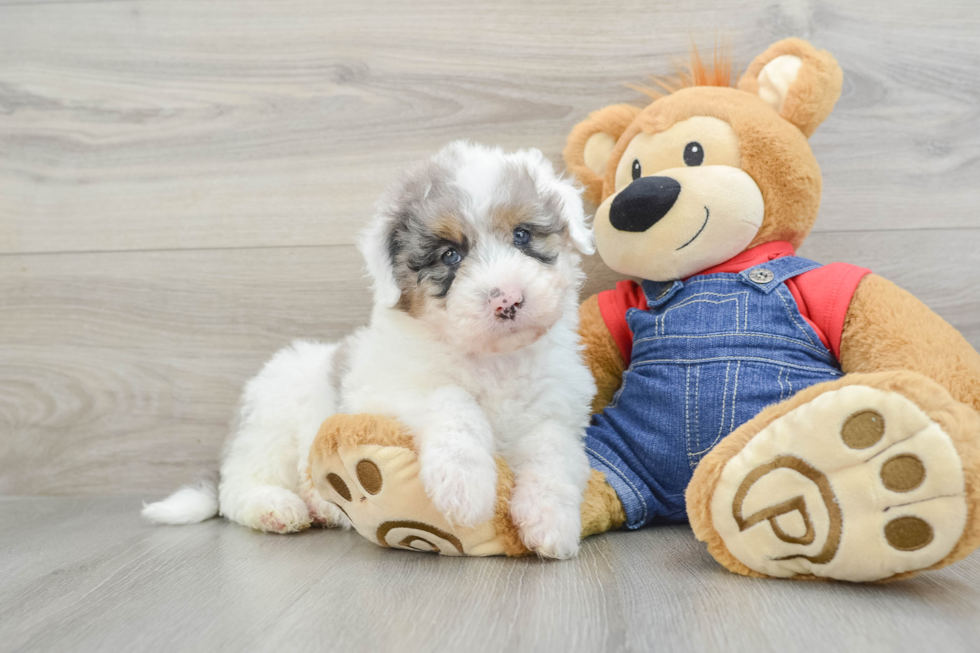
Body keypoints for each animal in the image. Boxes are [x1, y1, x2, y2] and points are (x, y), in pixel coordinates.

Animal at [141, 140, 592, 556]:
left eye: (522, 235)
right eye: (450, 255)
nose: (508, 300)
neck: (492, 360)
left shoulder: (556, 414)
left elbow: (552, 450)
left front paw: (550, 521)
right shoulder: (383, 391)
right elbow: (451, 399)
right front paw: (465, 484)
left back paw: (323, 507)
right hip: (272, 427)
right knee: (238, 487)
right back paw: (276, 507)